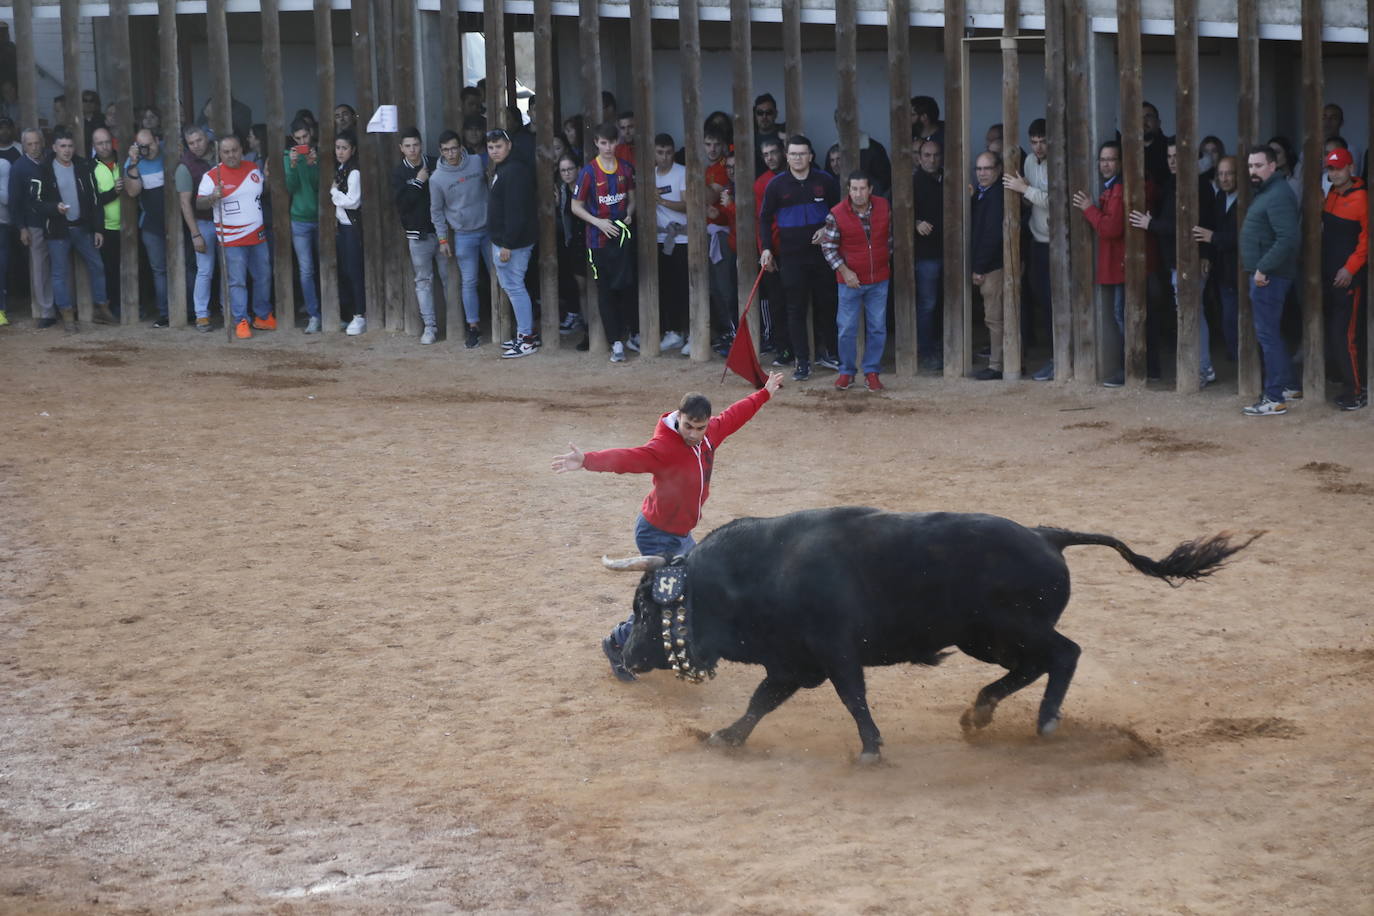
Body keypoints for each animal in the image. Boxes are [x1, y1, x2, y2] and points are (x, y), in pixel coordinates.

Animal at [607, 508, 1258, 758]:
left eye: (645, 608)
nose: (631, 655)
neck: (761, 569)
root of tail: (1047, 536)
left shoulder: (834, 656)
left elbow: (853, 698)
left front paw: (871, 748)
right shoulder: (795, 665)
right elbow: (760, 702)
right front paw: (725, 736)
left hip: (1007, 628)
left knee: (1064, 654)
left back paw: (1043, 720)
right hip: (987, 640)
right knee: (1033, 666)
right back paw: (981, 712)